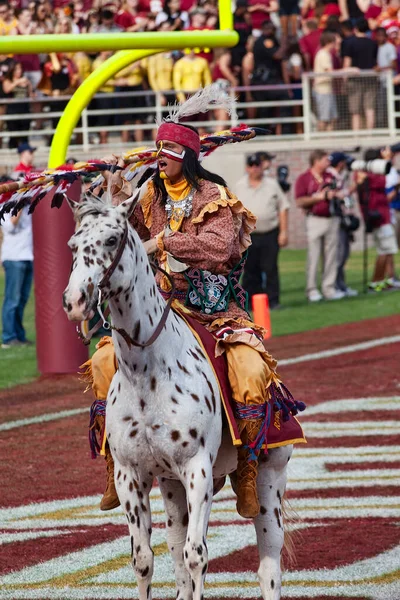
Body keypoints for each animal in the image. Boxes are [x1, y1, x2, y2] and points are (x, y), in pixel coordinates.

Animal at [63, 193, 294, 600]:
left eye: (111, 240)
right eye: (73, 246)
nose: (75, 300)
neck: (148, 373)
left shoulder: (197, 469)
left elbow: (196, 555)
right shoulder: (131, 475)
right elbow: (144, 559)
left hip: (271, 482)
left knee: (268, 563)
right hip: (170, 488)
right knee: (174, 545)